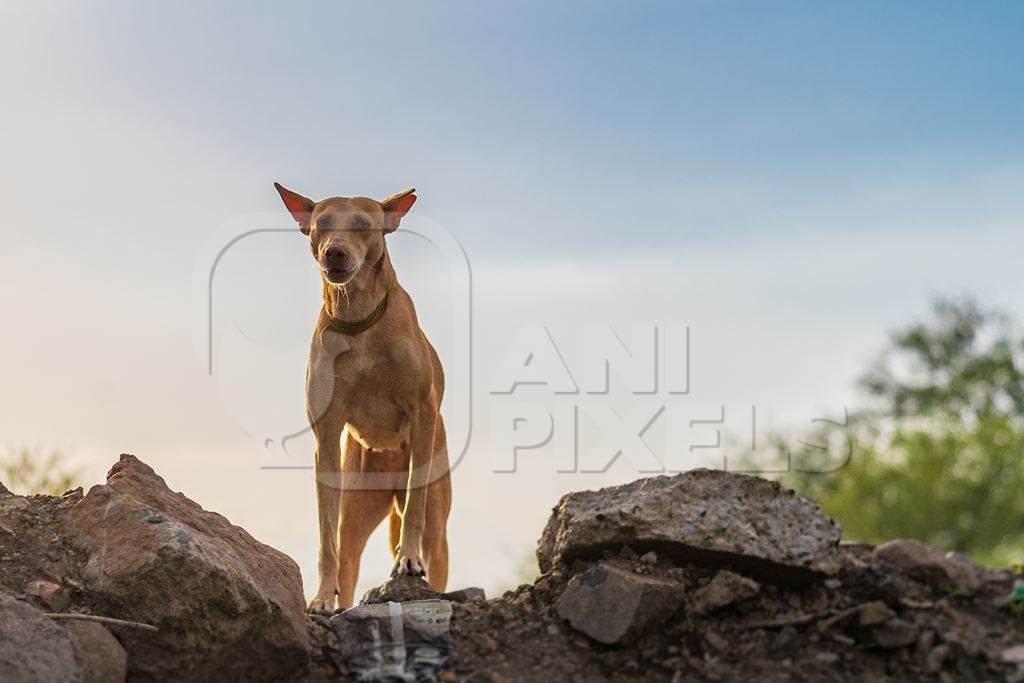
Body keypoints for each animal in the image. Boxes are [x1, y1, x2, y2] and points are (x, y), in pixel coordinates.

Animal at [274, 180, 450, 610]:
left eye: (363, 225)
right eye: (321, 224)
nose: (334, 252)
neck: (359, 323)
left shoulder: (422, 413)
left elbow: (415, 508)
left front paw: (408, 559)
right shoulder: (326, 438)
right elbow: (327, 541)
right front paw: (321, 598)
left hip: (439, 523)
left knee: (432, 540)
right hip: (355, 502)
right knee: (348, 556)